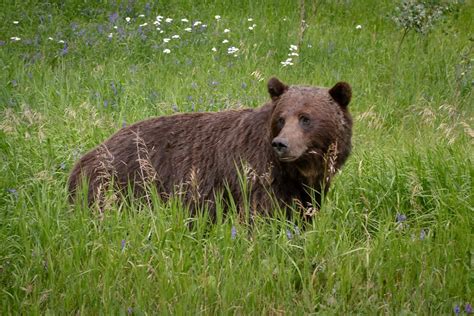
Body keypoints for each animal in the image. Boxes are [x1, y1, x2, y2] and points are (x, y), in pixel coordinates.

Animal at [69, 77, 352, 220]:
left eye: (306, 118)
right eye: (281, 118)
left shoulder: (308, 187)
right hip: (119, 183)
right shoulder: (254, 176)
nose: (281, 144)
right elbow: (259, 215)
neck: (296, 171)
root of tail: (84, 157)